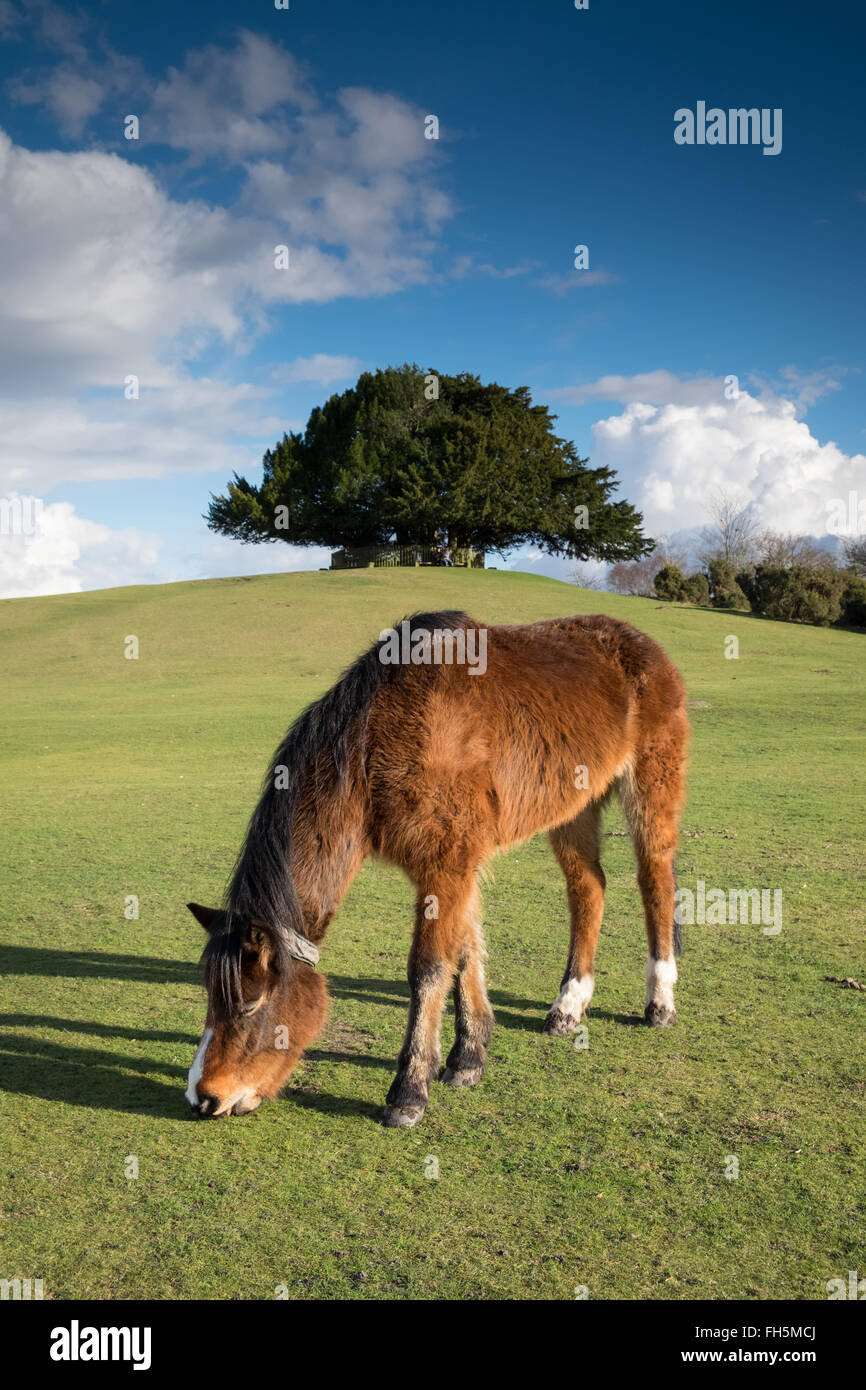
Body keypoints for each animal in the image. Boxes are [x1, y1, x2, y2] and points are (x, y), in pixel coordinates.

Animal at [185, 609, 689, 1128]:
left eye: (250, 1002)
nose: (203, 1097)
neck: (378, 736)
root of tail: (638, 641)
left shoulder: (446, 865)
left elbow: (429, 968)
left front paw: (409, 1090)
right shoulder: (454, 867)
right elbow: (463, 953)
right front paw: (468, 1058)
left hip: (651, 786)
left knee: (656, 880)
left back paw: (660, 1000)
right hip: (575, 808)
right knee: (587, 887)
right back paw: (569, 1005)